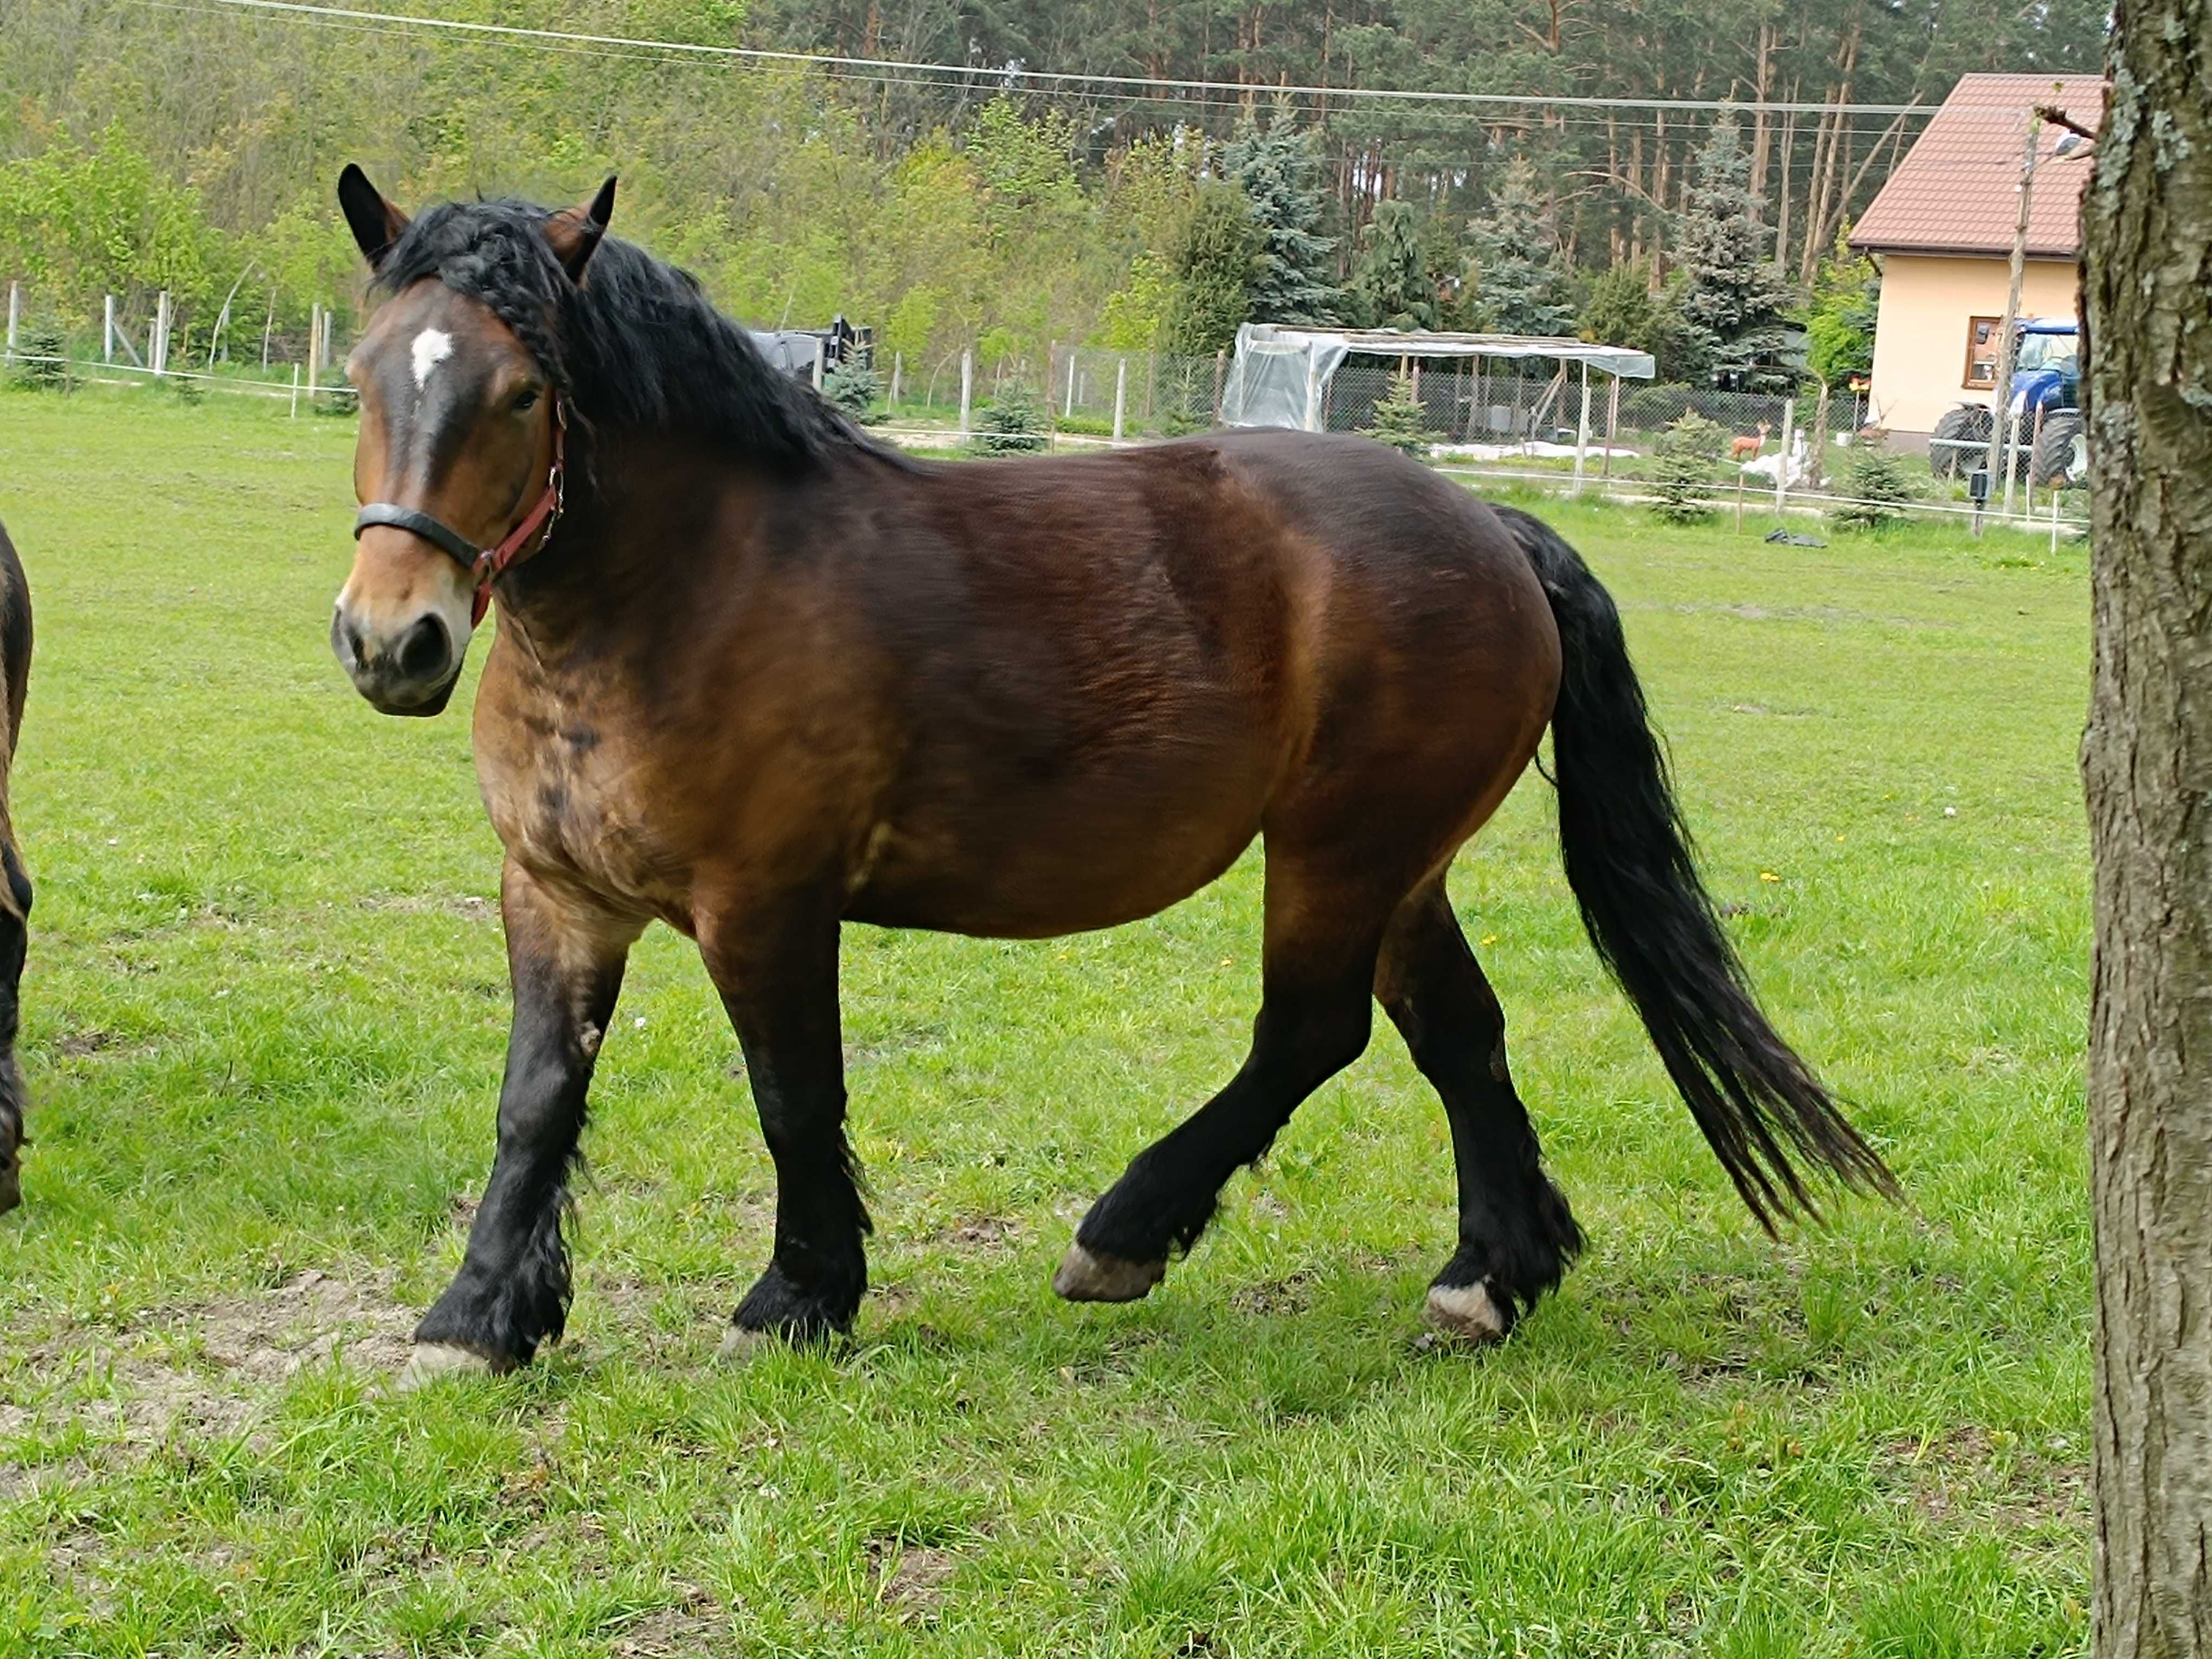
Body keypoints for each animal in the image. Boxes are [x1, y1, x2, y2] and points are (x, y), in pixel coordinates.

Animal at [327, 172, 1902, 1389]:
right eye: (364, 373)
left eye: (523, 390)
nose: (392, 639)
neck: (688, 589)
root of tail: (1492, 528)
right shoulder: (555, 895)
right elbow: (535, 1098)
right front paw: (481, 1315)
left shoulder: (762, 905)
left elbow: (794, 1097)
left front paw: (799, 1299)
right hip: (1402, 867)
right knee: (1459, 1036)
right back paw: (1489, 1277)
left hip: (1338, 851)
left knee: (1310, 1032)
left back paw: (1128, 1231)